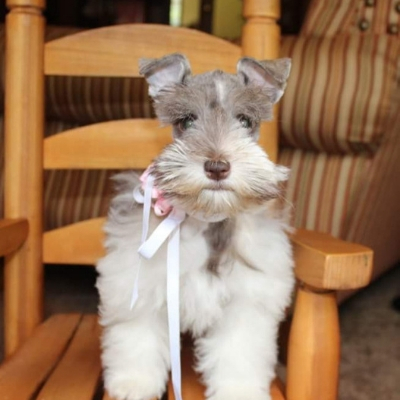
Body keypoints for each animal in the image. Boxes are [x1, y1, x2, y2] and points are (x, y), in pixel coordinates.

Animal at [97, 54, 294, 400]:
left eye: (245, 121)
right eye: (187, 121)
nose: (217, 166)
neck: (206, 219)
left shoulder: (245, 301)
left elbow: (238, 351)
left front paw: (238, 390)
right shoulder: (142, 285)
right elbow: (138, 337)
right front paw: (134, 382)